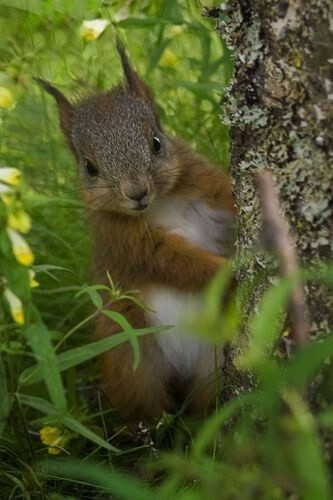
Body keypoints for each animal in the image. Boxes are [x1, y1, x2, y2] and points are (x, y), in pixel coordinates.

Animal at [37, 41, 235, 424]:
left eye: (157, 142)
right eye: (90, 168)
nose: (137, 192)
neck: (161, 204)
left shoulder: (207, 185)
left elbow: (231, 198)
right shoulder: (124, 240)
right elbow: (174, 262)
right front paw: (228, 272)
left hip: (213, 364)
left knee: (205, 405)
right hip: (130, 363)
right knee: (146, 409)